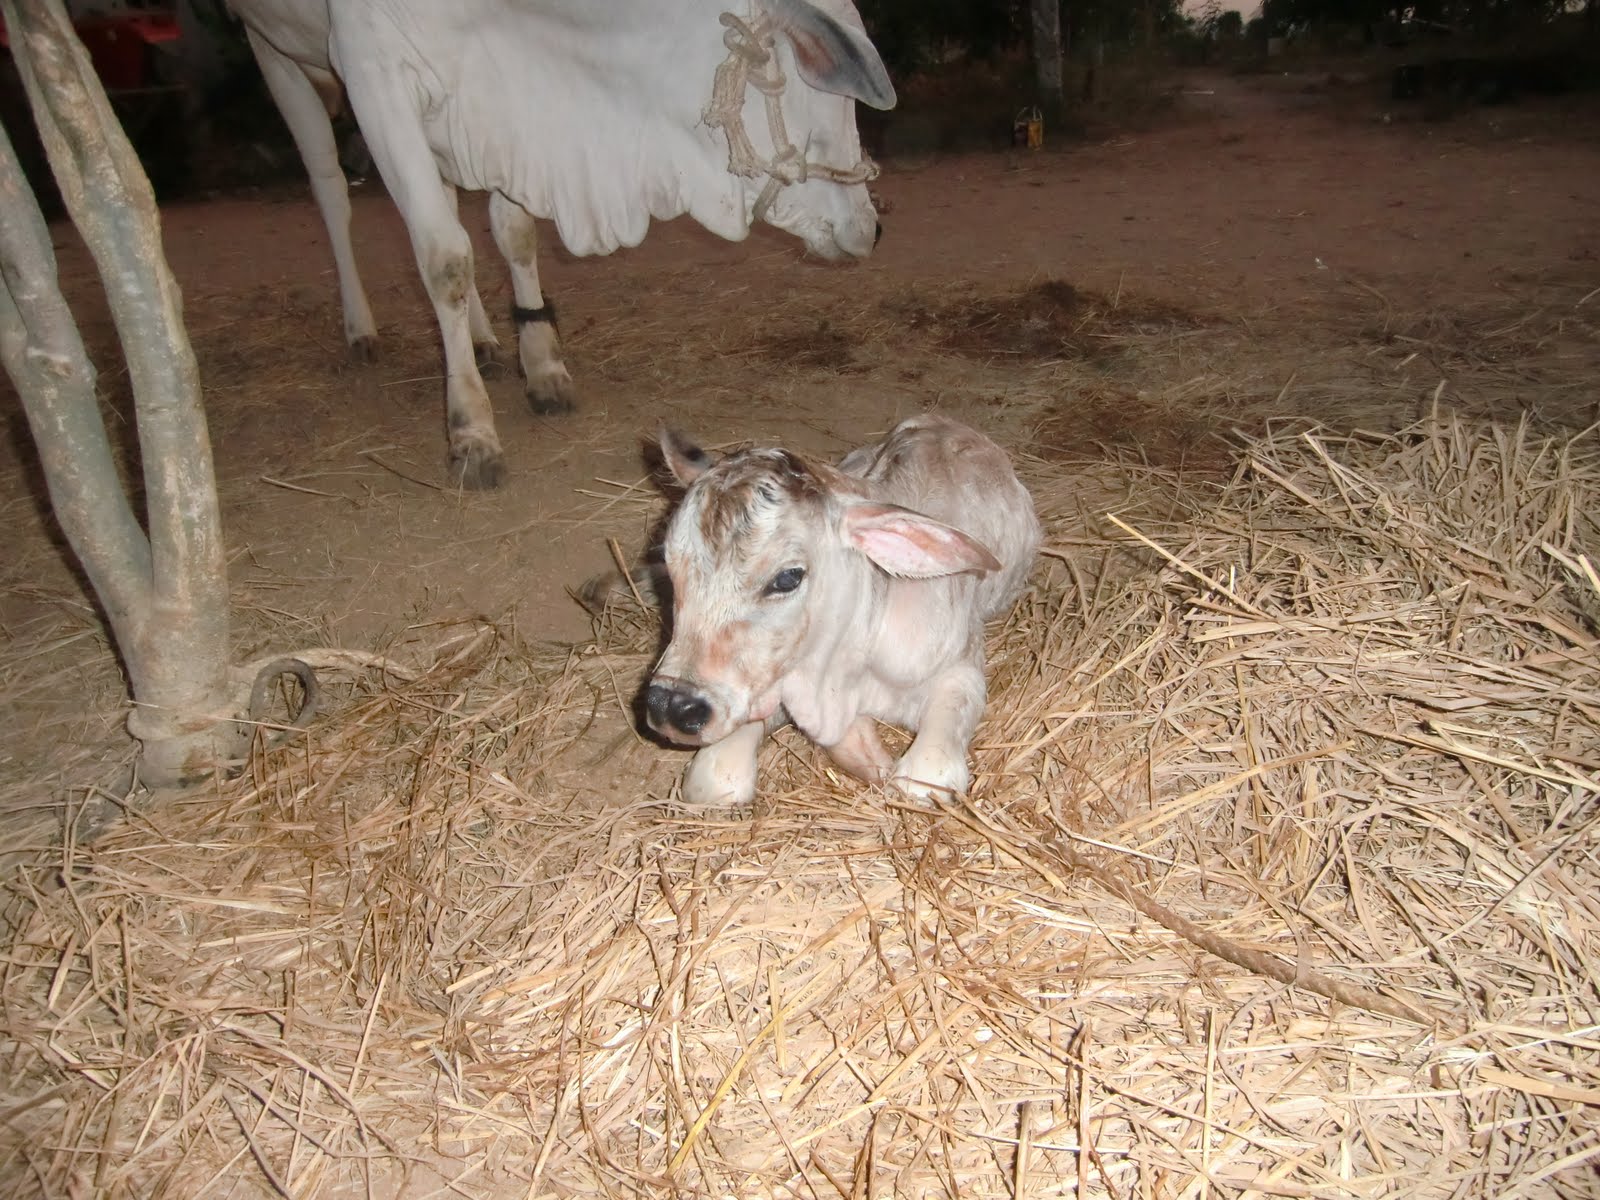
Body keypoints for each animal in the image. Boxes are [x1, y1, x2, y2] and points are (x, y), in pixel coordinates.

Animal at [227, 0, 895, 488]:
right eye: (834, 87)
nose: (874, 225)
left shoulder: (500, 120)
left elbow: (513, 232)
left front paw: (542, 363)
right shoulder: (372, 69)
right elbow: (444, 258)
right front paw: (471, 430)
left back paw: (484, 340)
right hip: (275, 51)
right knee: (330, 188)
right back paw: (360, 328)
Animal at [643, 414, 1040, 805]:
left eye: (788, 578)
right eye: (670, 564)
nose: (669, 705)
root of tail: (938, 421)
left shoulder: (960, 669)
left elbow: (923, 778)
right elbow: (714, 779)